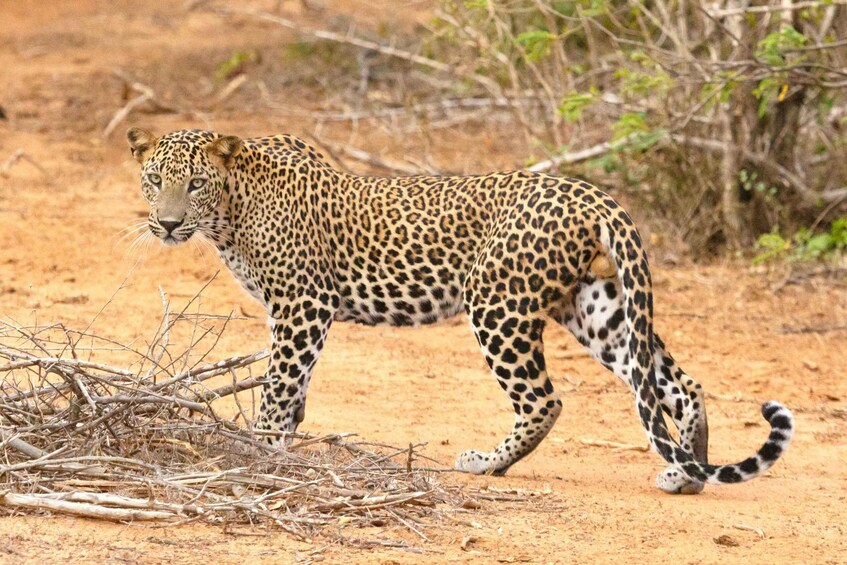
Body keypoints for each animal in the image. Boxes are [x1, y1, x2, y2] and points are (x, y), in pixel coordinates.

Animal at [126, 127, 794, 494]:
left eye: (195, 184)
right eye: (154, 180)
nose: (168, 224)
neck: (232, 211)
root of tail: (593, 193)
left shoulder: (302, 304)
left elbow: (279, 384)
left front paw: (260, 451)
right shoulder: (297, 311)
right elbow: (294, 389)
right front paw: (281, 444)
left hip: (496, 302)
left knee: (545, 400)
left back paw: (485, 465)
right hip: (596, 307)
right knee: (675, 384)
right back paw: (687, 472)